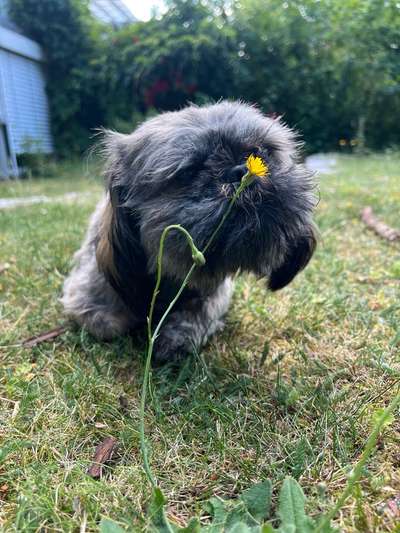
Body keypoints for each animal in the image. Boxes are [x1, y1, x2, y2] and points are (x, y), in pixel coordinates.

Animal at [61, 101, 318, 362]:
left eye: (259, 152)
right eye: (188, 172)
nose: (239, 170)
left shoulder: (216, 291)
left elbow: (200, 312)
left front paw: (178, 335)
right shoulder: (86, 290)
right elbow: (105, 323)